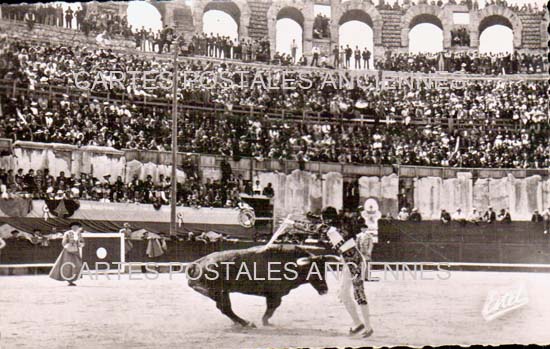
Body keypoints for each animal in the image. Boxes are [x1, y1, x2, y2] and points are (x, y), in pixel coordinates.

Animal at [188, 243, 338, 328]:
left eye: (324, 269)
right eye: (313, 270)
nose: (324, 289)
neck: (290, 263)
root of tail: (198, 263)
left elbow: (272, 307)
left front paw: (266, 321)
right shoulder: (275, 294)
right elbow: (272, 307)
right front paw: (265, 321)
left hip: (220, 292)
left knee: (224, 308)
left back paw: (239, 322)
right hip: (219, 291)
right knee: (225, 308)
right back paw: (247, 323)